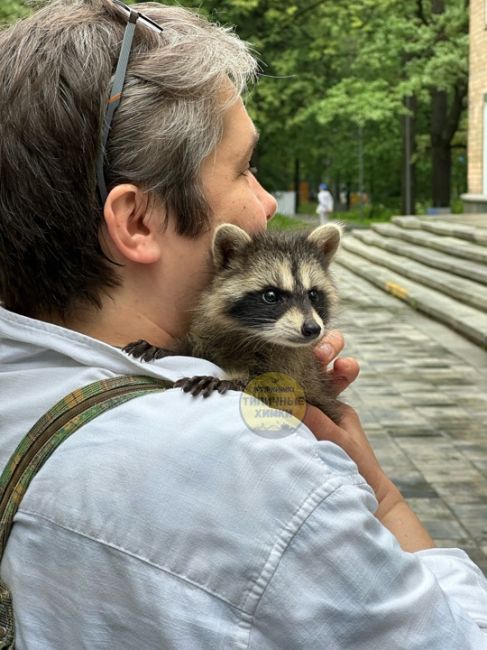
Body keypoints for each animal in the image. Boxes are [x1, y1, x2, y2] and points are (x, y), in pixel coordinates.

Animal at [124, 223, 346, 422]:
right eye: (271, 295)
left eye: (313, 295)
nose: (312, 329)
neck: (251, 334)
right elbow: (196, 346)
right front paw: (167, 348)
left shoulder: (293, 368)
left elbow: (274, 390)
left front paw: (230, 381)